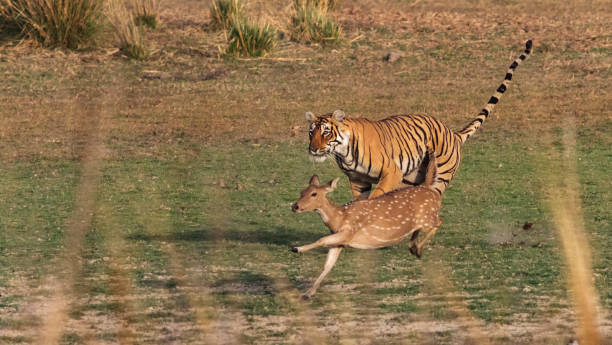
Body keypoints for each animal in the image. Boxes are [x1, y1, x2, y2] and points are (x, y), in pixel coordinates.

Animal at [290, 150, 442, 298]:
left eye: (314, 194)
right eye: (302, 192)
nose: (295, 206)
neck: (339, 218)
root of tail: (429, 188)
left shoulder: (349, 232)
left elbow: (322, 240)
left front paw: (297, 249)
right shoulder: (340, 242)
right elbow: (328, 265)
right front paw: (308, 293)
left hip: (428, 216)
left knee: (439, 221)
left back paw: (418, 249)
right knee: (420, 229)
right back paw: (414, 247)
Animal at [304, 39, 532, 199]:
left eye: (326, 132)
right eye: (311, 132)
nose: (313, 149)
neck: (344, 153)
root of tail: (454, 134)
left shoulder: (391, 172)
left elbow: (375, 198)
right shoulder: (358, 181)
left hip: (439, 177)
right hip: (412, 178)